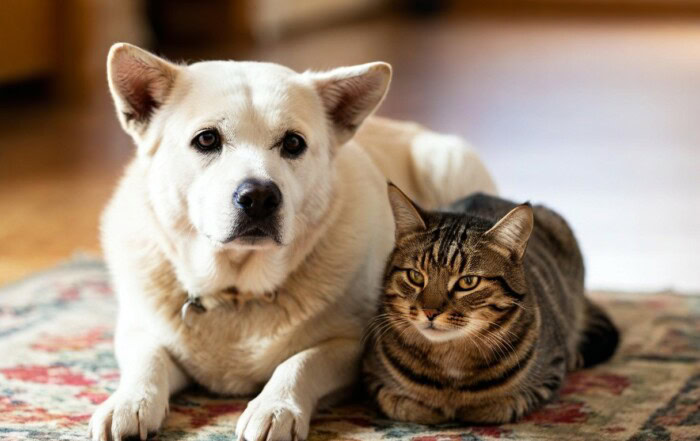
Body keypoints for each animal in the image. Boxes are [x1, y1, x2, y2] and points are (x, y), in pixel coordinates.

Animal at [90, 42, 498, 440]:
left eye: (293, 143)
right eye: (206, 139)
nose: (259, 197)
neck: (238, 293)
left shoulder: (353, 345)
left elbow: (300, 362)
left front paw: (276, 407)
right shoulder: (137, 330)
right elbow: (147, 361)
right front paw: (128, 402)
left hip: (447, 161)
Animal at [360, 183, 616, 422]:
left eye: (468, 282)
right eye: (415, 276)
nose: (429, 311)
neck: (450, 362)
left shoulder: (550, 371)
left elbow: (499, 407)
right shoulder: (373, 377)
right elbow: (403, 407)